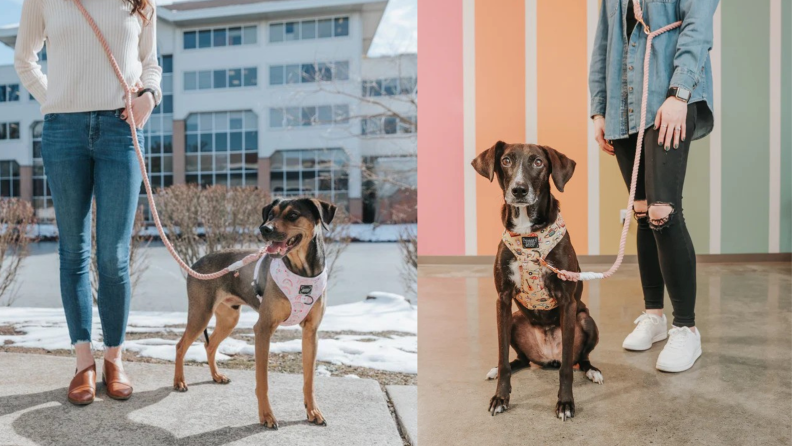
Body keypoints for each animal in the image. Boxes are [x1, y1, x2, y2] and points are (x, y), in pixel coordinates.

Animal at [173, 197, 334, 426]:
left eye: (293, 215)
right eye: (271, 214)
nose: (265, 229)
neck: (301, 271)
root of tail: (196, 262)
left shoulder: (311, 332)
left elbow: (309, 380)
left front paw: (313, 411)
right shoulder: (263, 329)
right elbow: (262, 380)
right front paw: (266, 416)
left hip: (229, 318)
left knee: (210, 344)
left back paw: (217, 376)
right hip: (200, 313)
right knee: (180, 346)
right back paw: (179, 382)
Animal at [470, 144, 600, 422]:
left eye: (538, 162)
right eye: (506, 160)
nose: (519, 189)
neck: (528, 235)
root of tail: (548, 358)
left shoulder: (567, 302)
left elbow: (567, 368)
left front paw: (565, 403)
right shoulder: (502, 299)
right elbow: (503, 357)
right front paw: (501, 398)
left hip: (586, 320)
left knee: (578, 359)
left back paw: (592, 370)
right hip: (514, 320)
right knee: (517, 359)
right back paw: (497, 370)